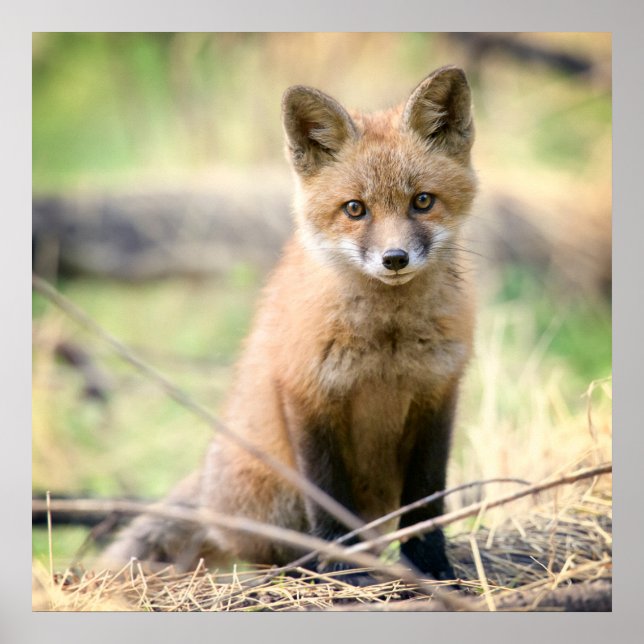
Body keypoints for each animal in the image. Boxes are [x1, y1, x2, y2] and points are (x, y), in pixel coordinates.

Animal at [102, 65, 477, 584]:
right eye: (355, 208)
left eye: (423, 201)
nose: (395, 259)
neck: (387, 344)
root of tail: (209, 493)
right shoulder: (307, 393)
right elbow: (328, 501)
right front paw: (342, 570)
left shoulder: (438, 396)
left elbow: (427, 502)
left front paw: (433, 569)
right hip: (274, 495)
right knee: (268, 551)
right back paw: (302, 569)